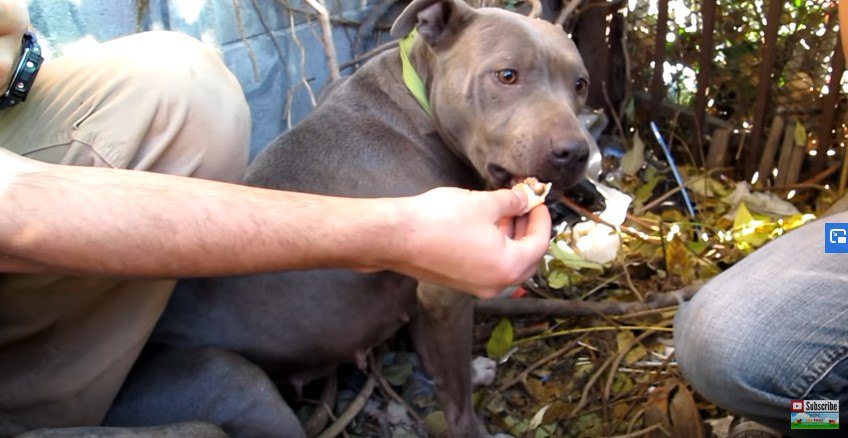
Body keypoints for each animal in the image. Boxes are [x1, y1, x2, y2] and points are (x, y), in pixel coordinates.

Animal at [104, 1, 588, 436]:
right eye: (507, 75)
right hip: (232, 382)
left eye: (580, 84)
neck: (420, 107)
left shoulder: (424, 298)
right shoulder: (446, 290)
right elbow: (456, 398)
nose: (577, 152)